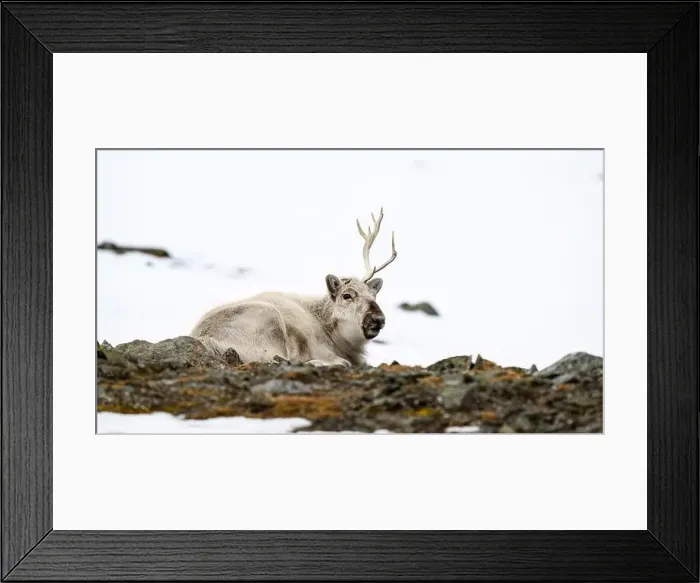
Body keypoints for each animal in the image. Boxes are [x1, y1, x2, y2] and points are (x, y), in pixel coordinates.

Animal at [191, 209, 398, 367]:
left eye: (373, 295)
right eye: (347, 295)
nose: (378, 319)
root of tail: (206, 340)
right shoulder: (320, 349)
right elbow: (343, 362)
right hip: (267, 322)